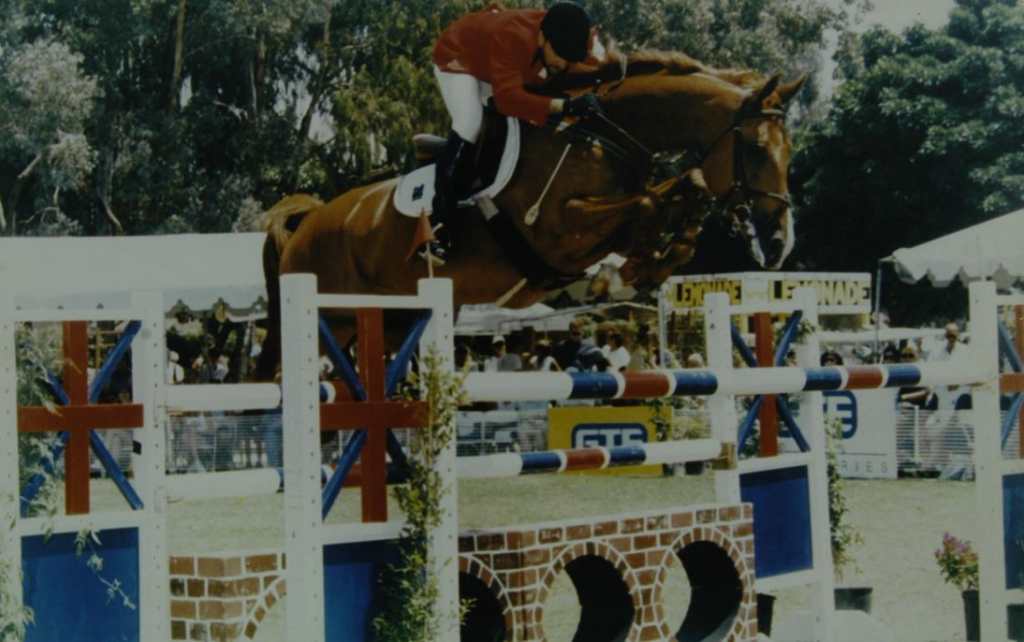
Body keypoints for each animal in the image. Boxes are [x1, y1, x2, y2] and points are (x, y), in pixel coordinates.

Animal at [251, 52, 802, 378]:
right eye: (757, 149)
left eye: (790, 151)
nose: (779, 243)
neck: (602, 136)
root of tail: (309, 222)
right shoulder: (558, 230)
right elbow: (650, 202)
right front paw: (613, 278)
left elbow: (676, 199)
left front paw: (636, 270)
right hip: (328, 319)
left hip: (388, 323)